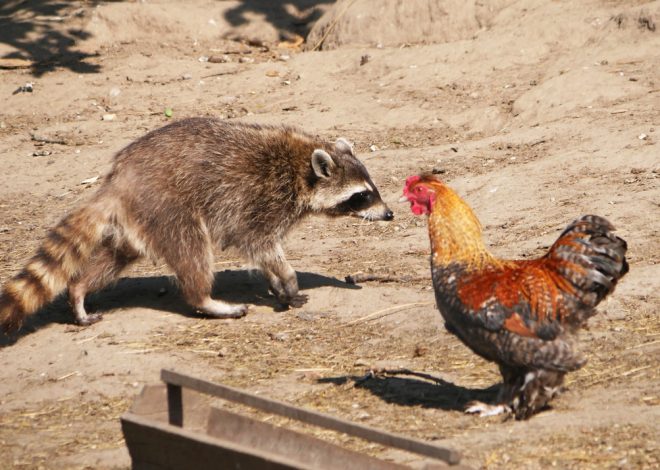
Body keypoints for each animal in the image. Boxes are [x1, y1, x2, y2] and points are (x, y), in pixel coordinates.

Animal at [0, 118, 393, 333]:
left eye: (372, 189)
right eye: (361, 196)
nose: (389, 214)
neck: (300, 169)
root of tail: (119, 180)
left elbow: (263, 253)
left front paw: (277, 284)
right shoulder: (261, 200)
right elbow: (259, 244)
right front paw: (288, 277)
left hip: (138, 222)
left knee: (113, 260)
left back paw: (80, 290)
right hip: (168, 207)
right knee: (194, 253)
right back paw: (207, 300)